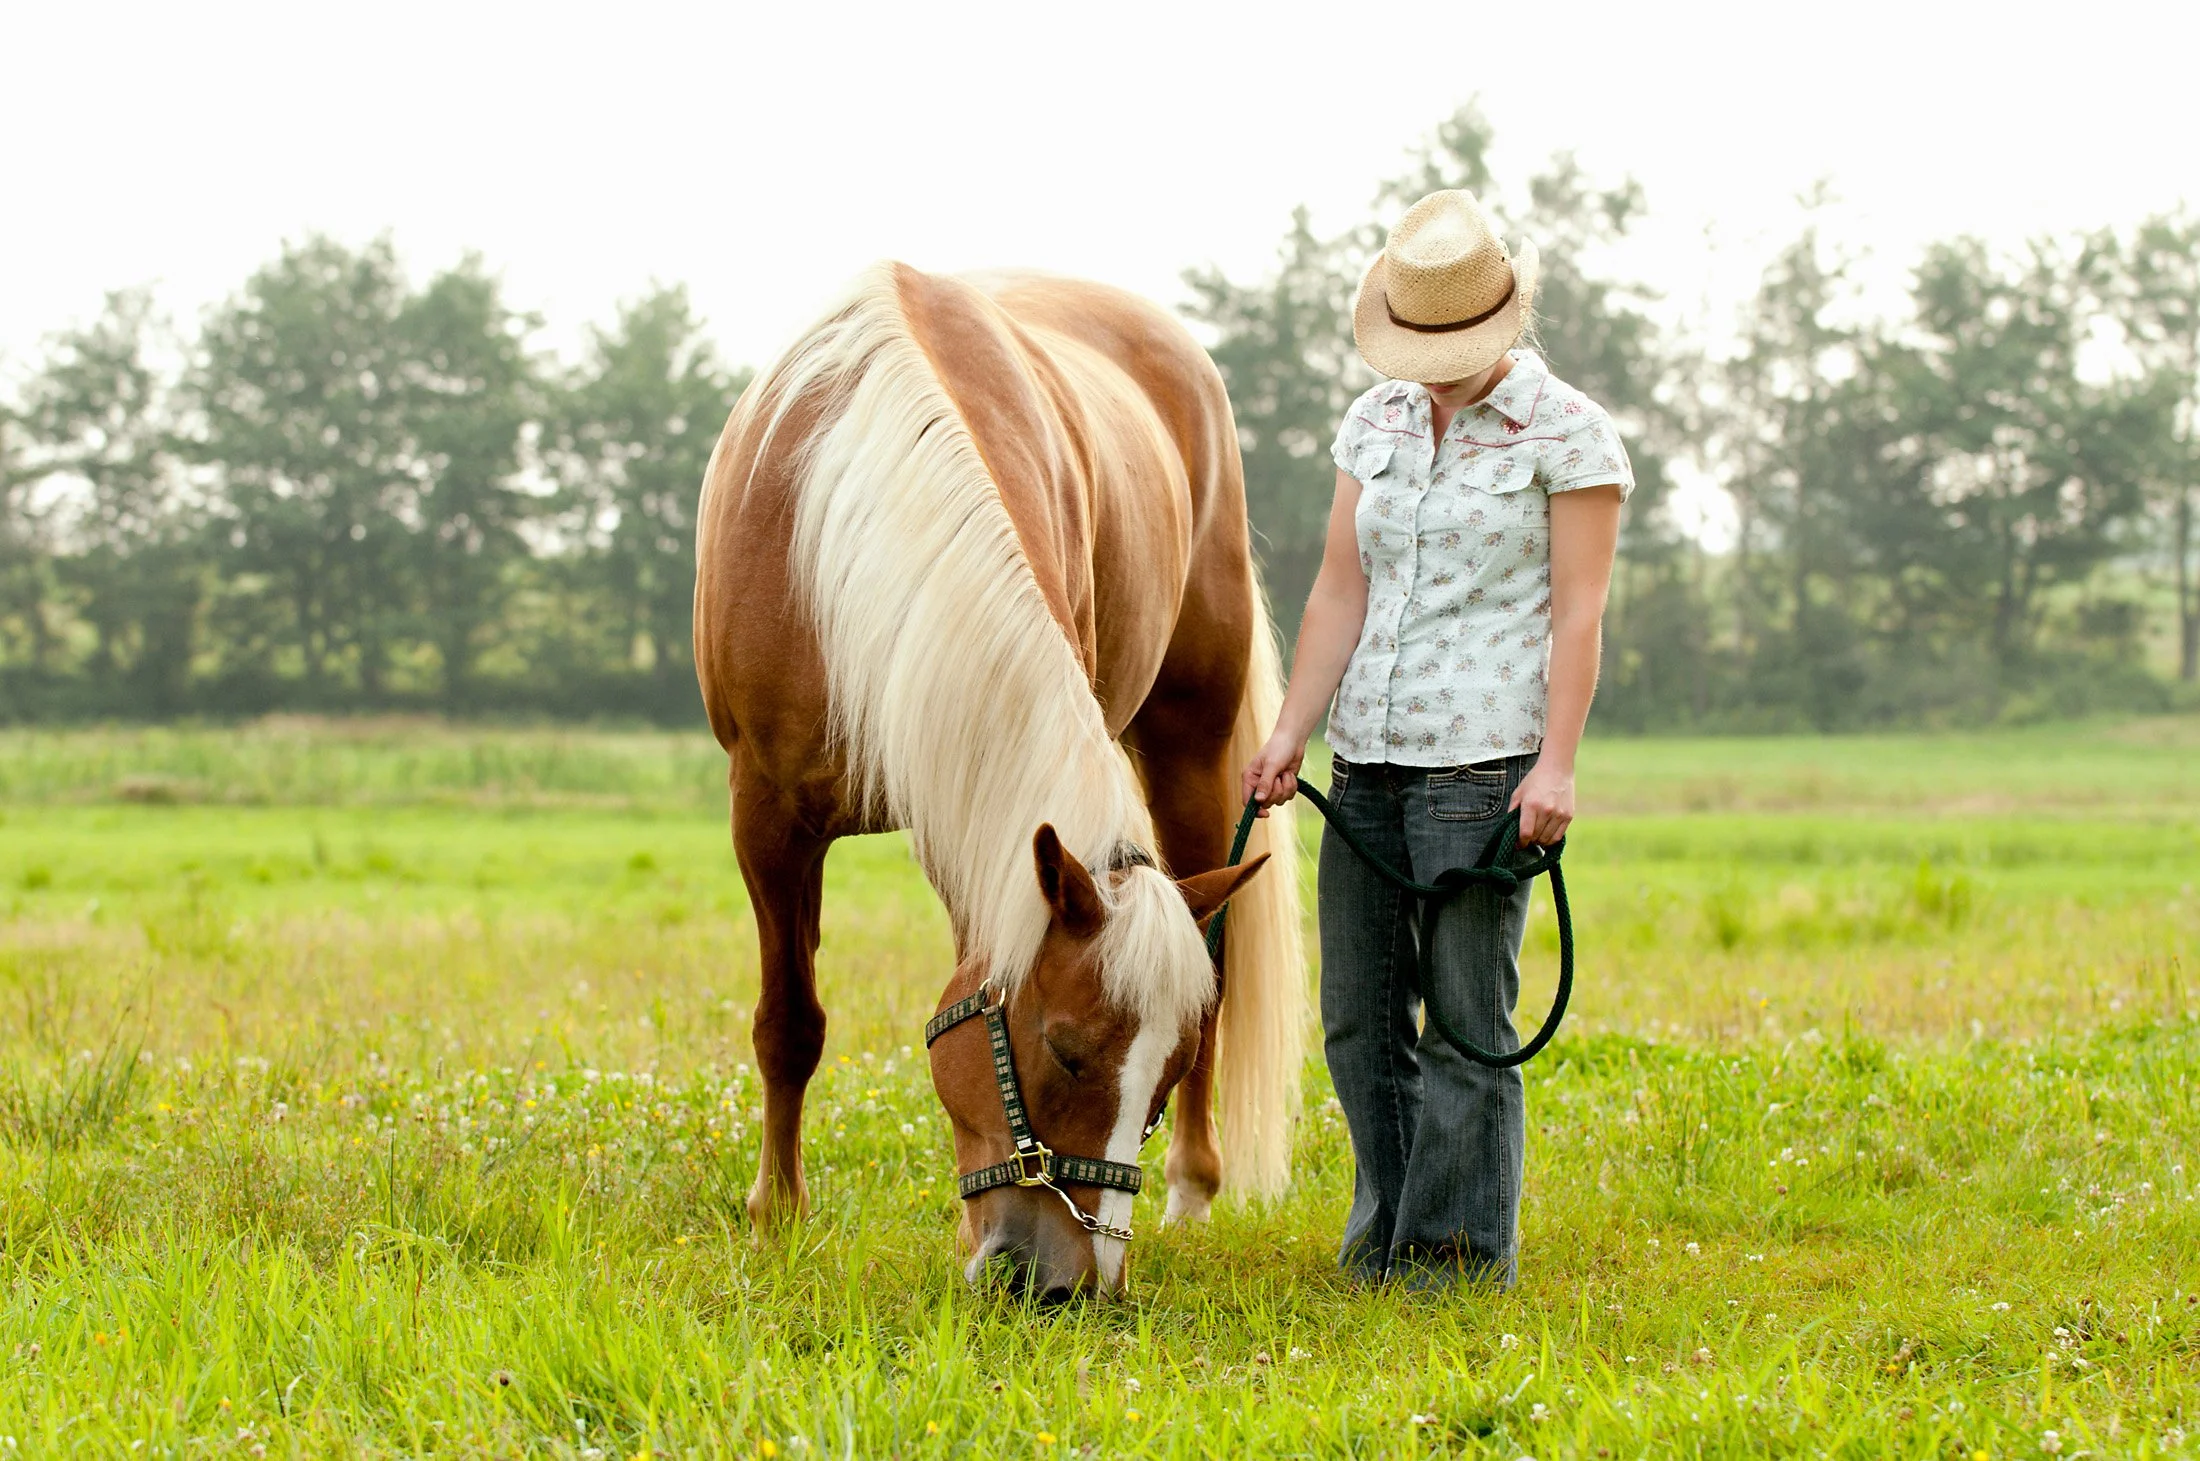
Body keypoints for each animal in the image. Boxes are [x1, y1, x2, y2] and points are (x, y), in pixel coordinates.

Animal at [693, 262, 1304, 1299]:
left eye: (1162, 1074)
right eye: (1062, 1048)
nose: (1066, 1283)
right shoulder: (766, 817)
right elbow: (788, 1023)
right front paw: (778, 1217)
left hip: (1191, 745)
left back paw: (1193, 1190)